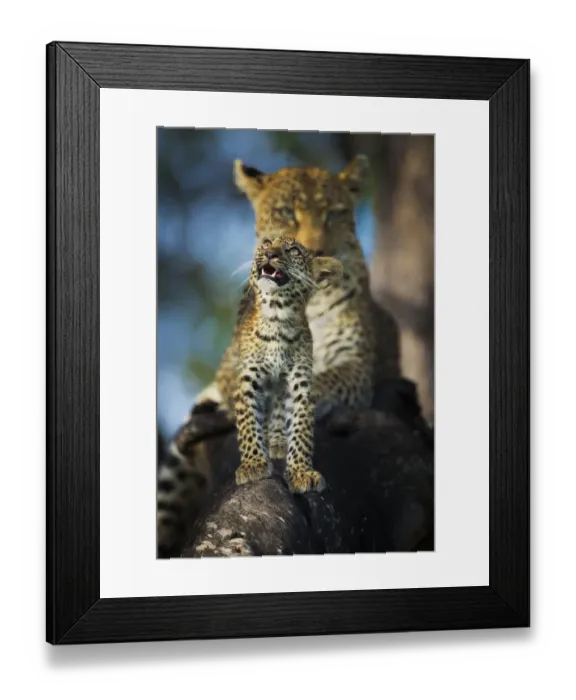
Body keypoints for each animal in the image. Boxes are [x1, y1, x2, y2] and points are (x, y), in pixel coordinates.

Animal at [157, 155, 401, 556]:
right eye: (287, 212)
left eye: (334, 214)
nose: (316, 252)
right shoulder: (236, 365)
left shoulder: (355, 366)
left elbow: (320, 383)